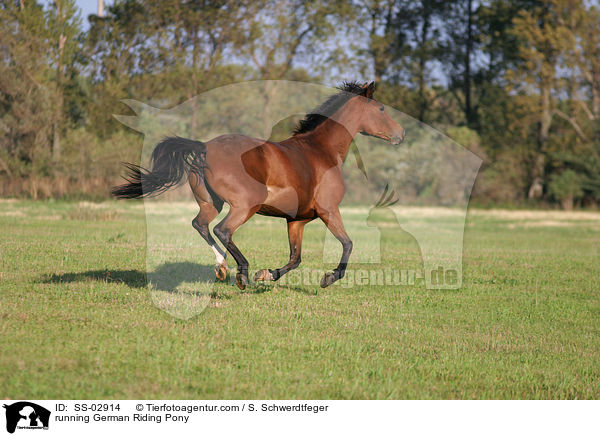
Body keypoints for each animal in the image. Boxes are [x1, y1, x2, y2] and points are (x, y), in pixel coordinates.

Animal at [110, 81, 406, 290]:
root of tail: (204, 147)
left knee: (200, 225)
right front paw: (328, 278)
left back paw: (222, 268)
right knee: (222, 230)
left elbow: (295, 258)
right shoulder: (329, 210)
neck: (321, 151)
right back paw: (241, 272)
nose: (401, 134)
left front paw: (267, 274)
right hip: (245, 206)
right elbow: (347, 245)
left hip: (211, 203)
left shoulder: (296, 220)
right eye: (381, 109)